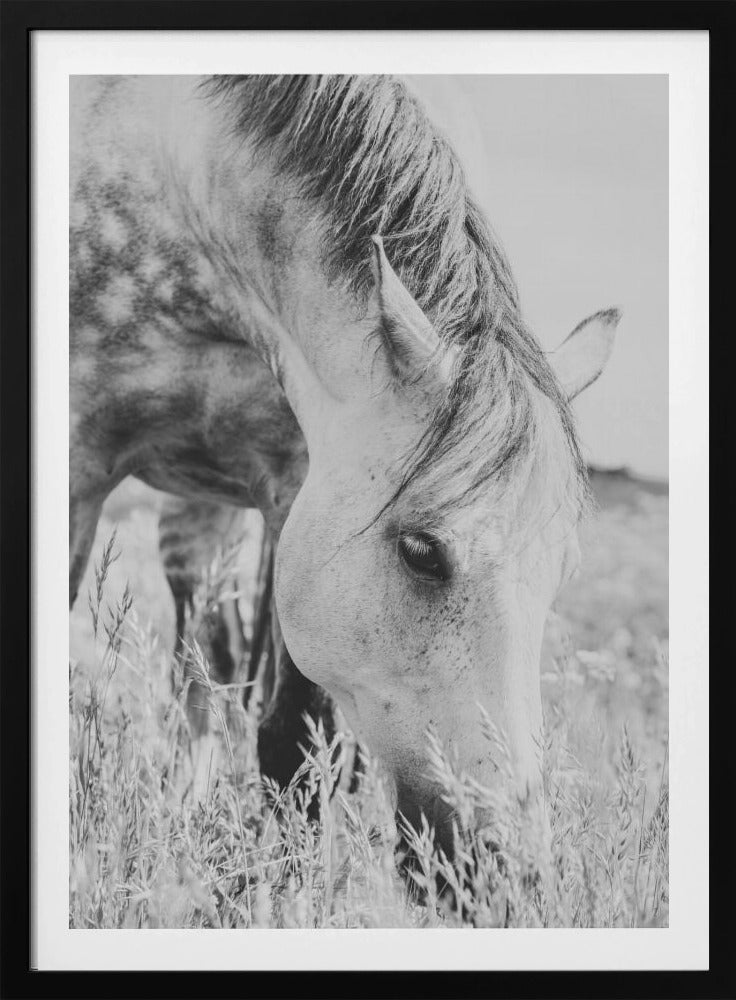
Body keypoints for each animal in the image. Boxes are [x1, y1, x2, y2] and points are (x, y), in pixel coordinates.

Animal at [70, 75, 618, 858]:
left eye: (561, 570)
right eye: (421, 551)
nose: (509, 866)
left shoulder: (296, 485)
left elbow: (293, 743)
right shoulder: (77, 463)